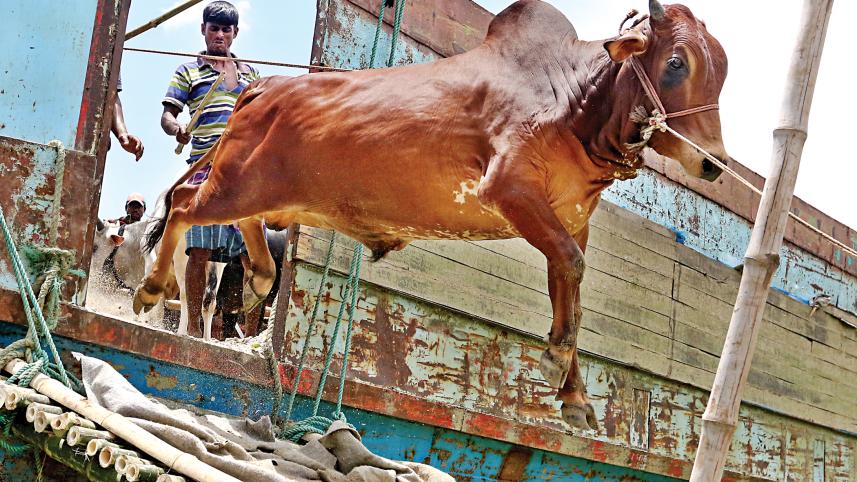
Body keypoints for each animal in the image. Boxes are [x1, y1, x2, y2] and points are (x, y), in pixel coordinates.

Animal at [135, 0, 730, 430]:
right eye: (676, 63)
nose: (713, 163)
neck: (577, 105)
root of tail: (261, 86)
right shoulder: (510, 190)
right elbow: (573, 271)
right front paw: (557, 361)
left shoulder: (568, 222)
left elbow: (571, 287)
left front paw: (575, 396)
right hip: (235, 184)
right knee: (183, 209)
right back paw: (152, 287)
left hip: (265, 193)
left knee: (243, 224)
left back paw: (259, 276)